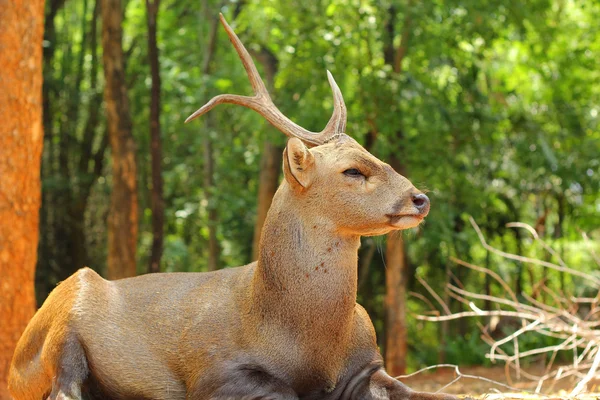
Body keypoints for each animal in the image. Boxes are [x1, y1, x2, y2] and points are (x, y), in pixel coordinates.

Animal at [8, 14, 454, 400]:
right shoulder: (214, 371)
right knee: (64, 387)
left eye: (372, 154)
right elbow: (282, 390)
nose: (420, 198)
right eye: (352, 171)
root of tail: (13, 369)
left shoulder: (368, 365)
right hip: (64, 316)